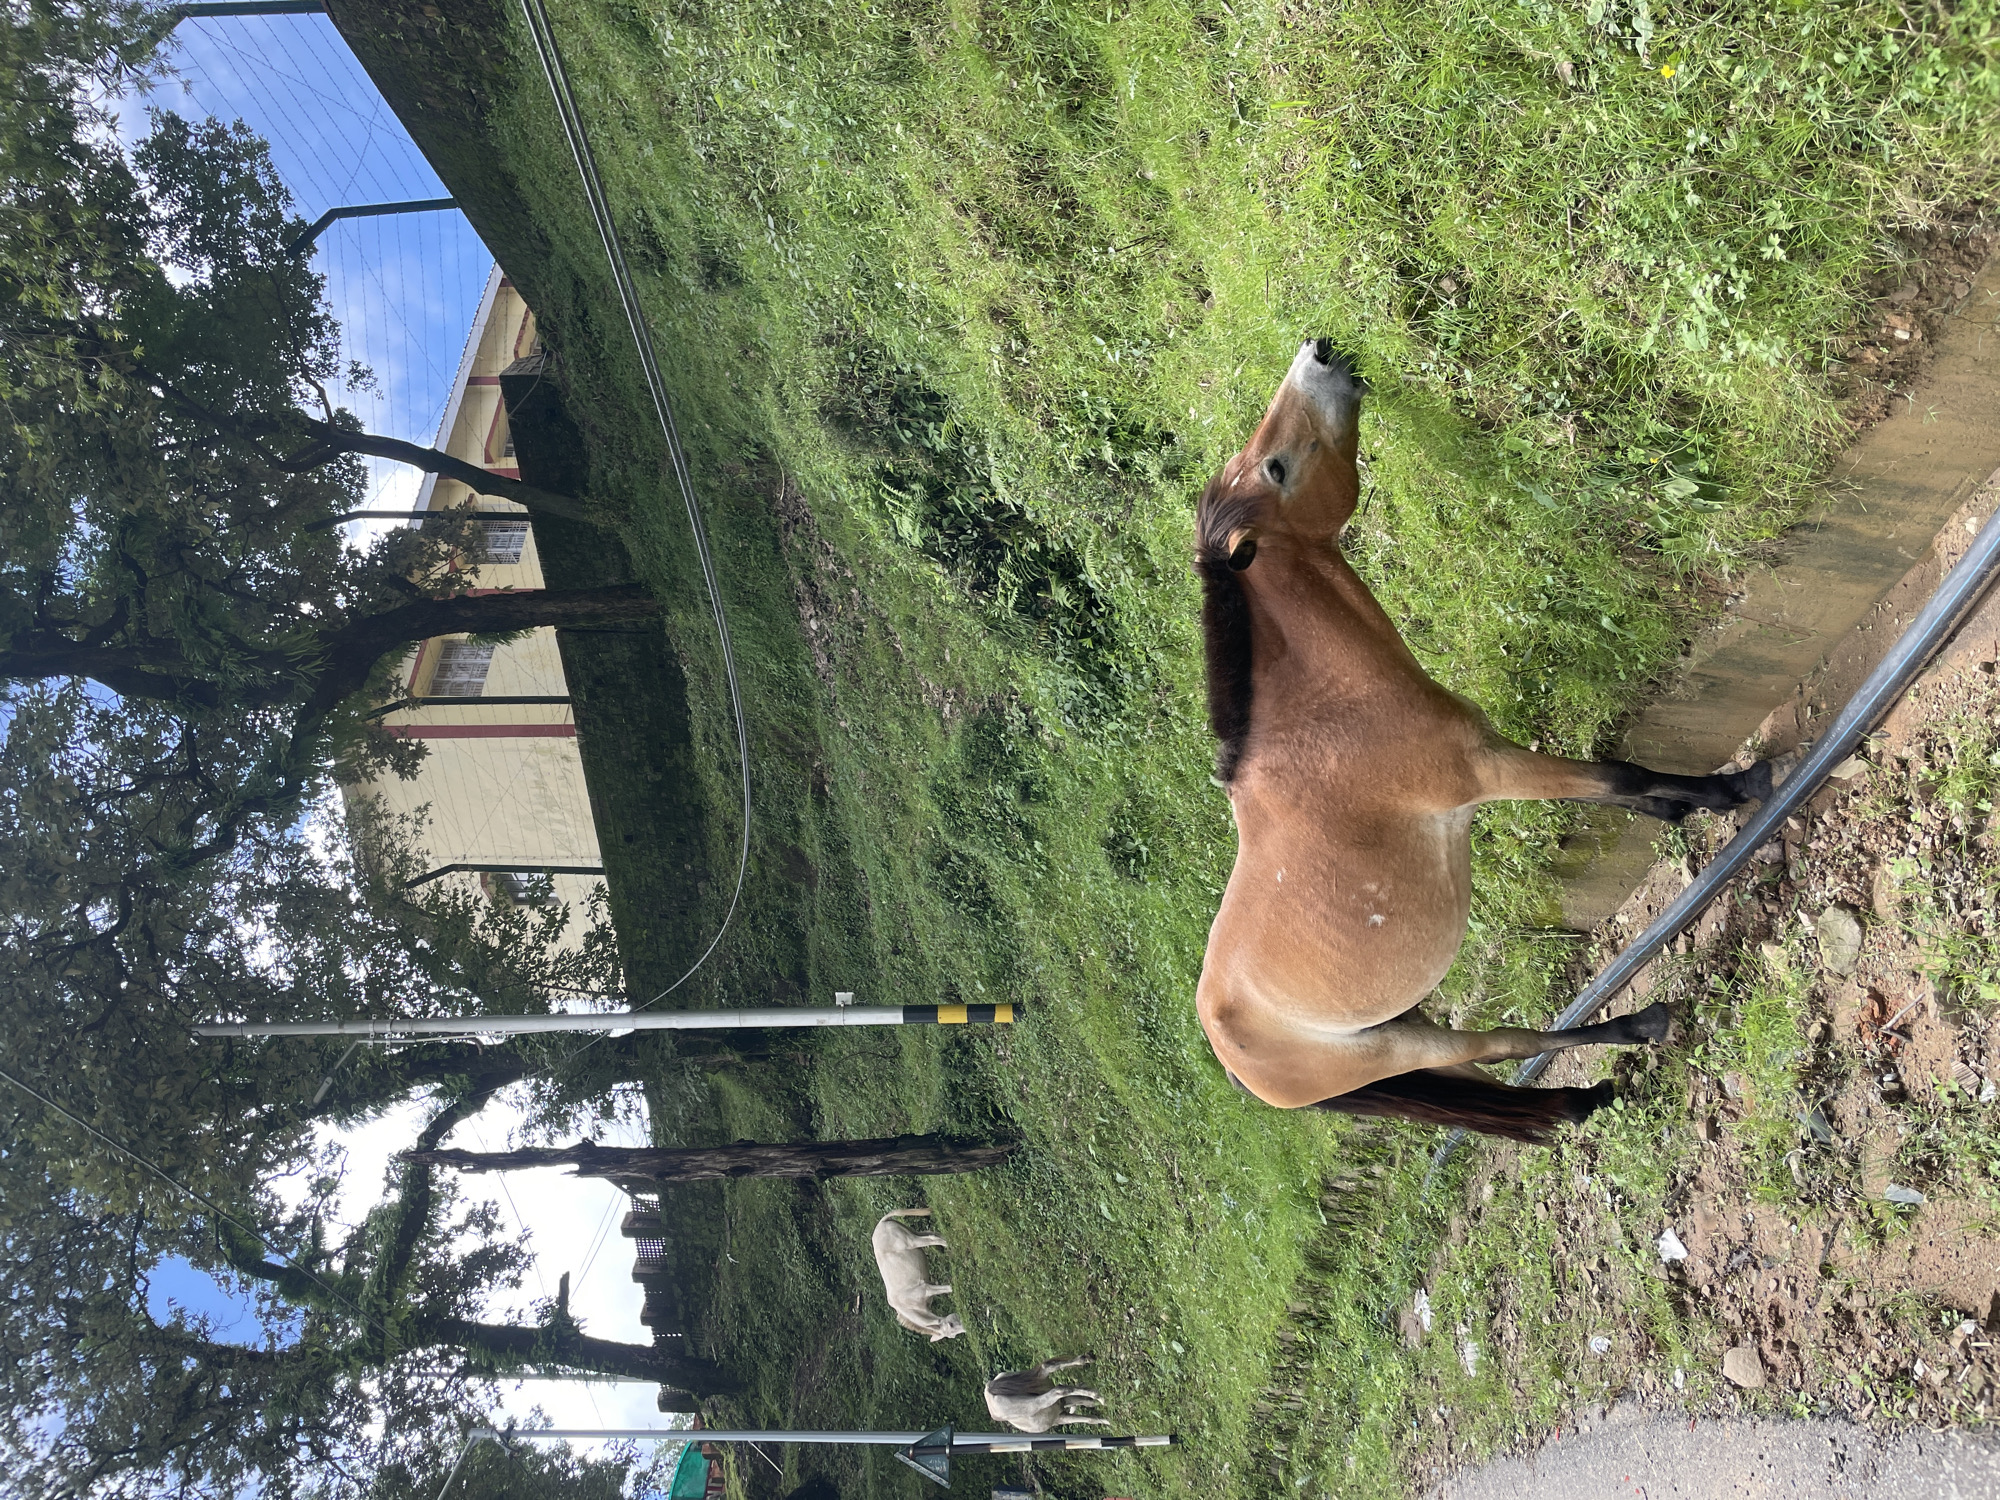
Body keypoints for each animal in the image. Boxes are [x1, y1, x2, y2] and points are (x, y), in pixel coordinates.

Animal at [1193, 340, 1770, 1142]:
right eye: (1279, 467)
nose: (1321, 351)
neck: (1333, 716)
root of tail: (1232, 1059)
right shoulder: (1491, 772)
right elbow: (1614, 777)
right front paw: (1734, 789)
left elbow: (1622, 788)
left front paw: (1683, 808)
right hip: (1406, 1045)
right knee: (1506, 1042)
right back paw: (1639, 1032)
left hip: (1402, 1032)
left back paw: (1594, 1088)